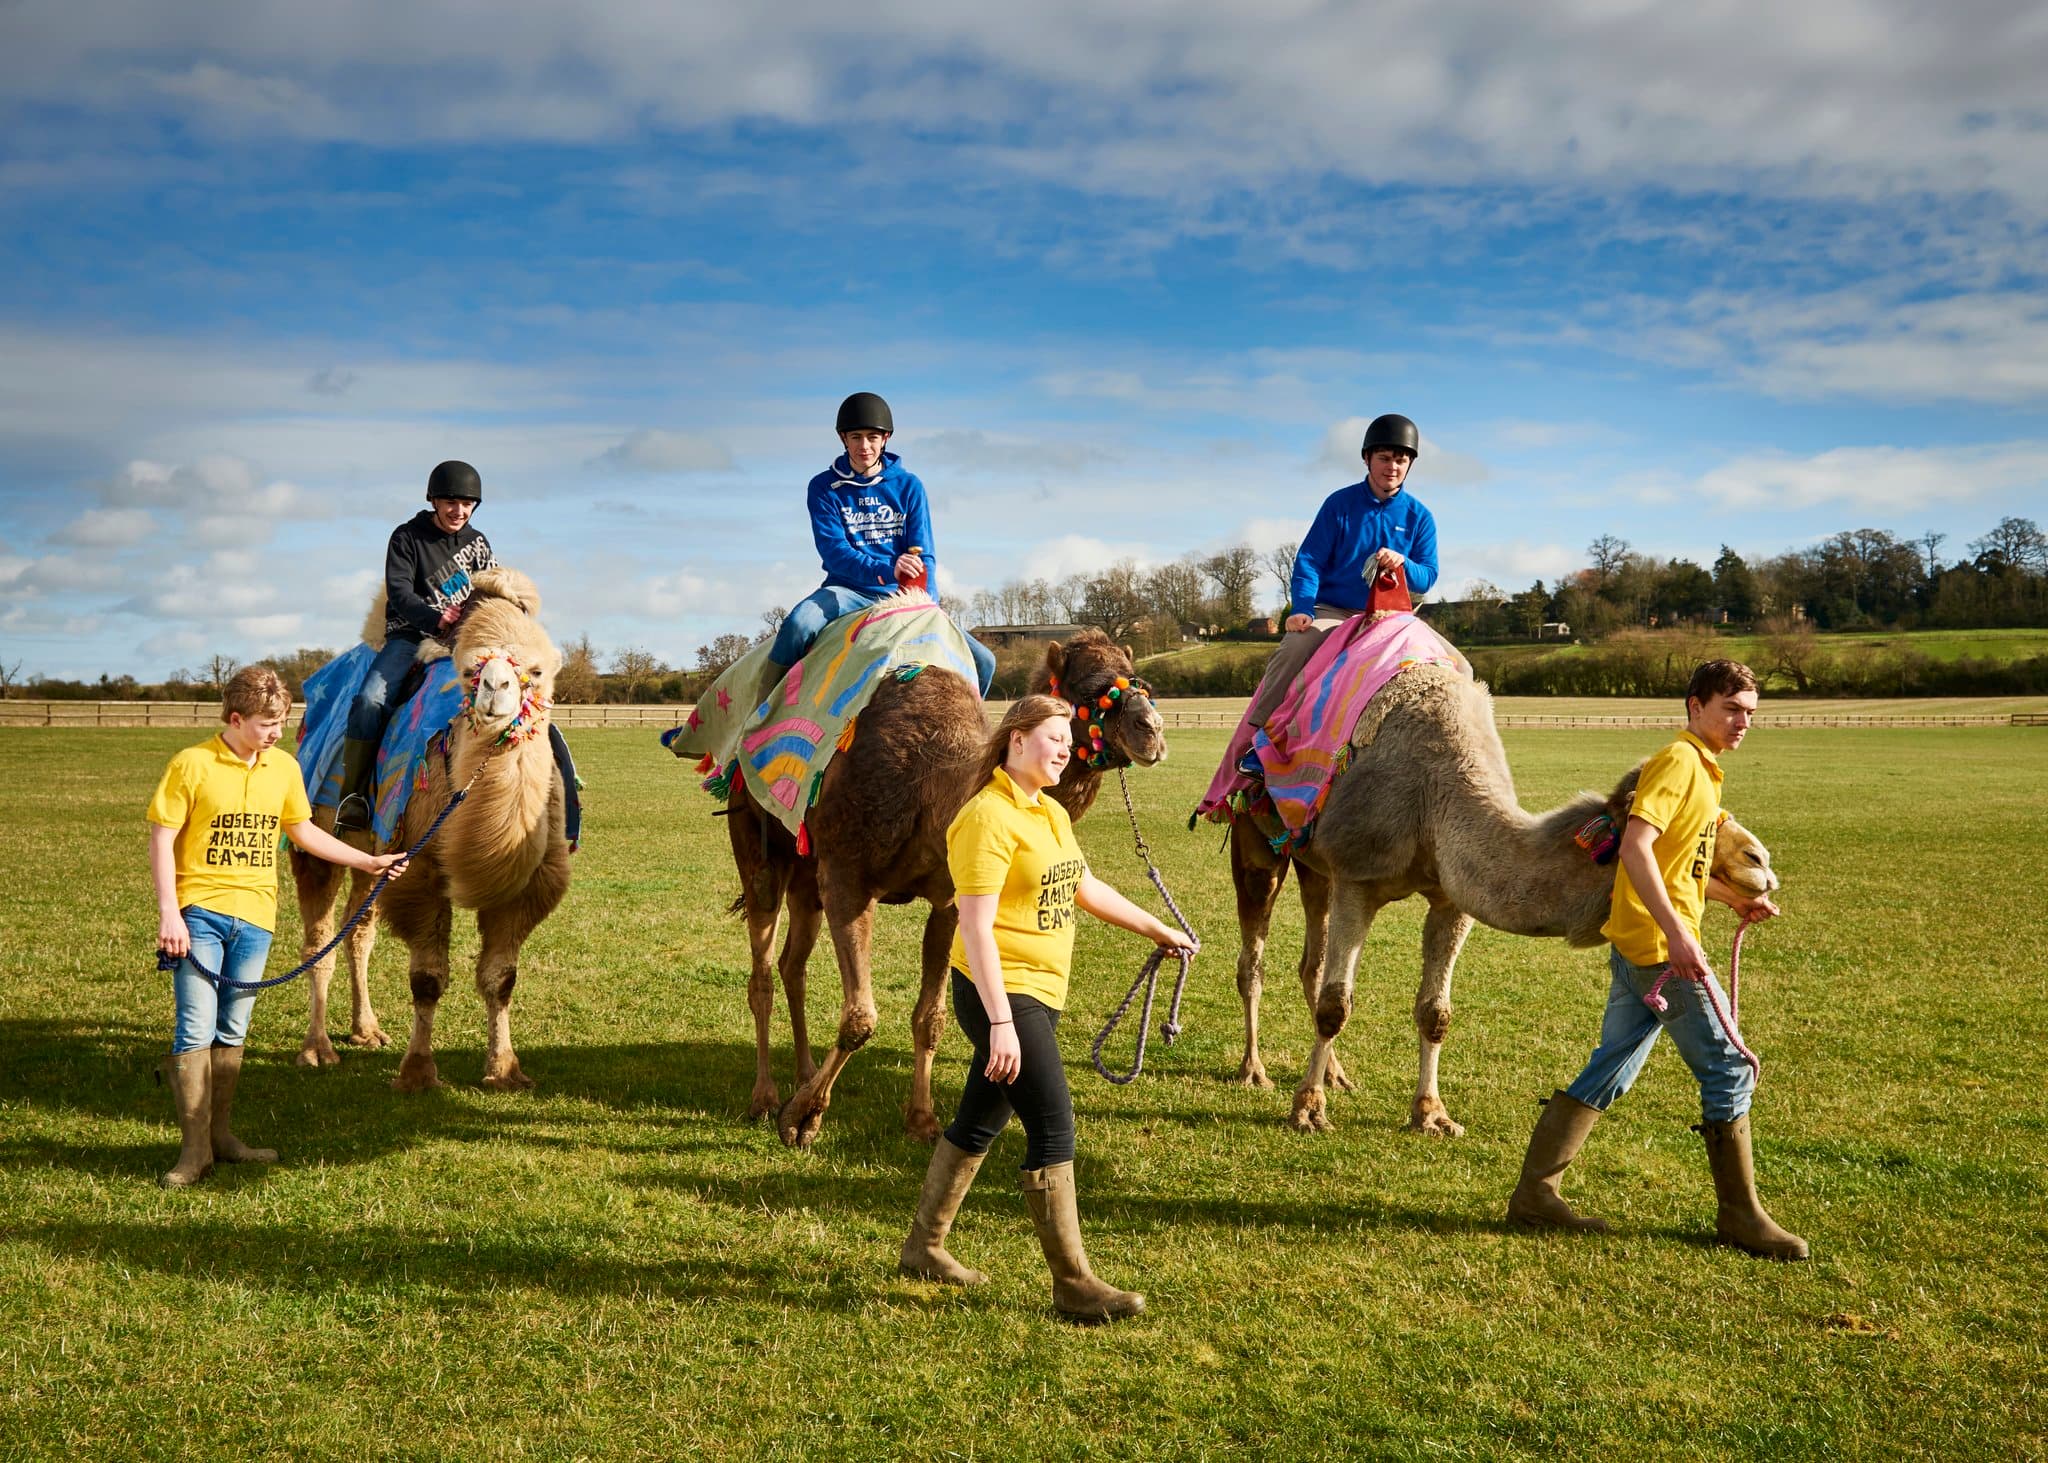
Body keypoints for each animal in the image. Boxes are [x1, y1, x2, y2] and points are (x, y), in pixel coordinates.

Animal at [290, 567, 572, 1091]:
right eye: (466, 670)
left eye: (538, 671)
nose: (496, 687)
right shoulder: (418, 870)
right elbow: (427, 978)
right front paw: (418, 1072)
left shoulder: (526, 887)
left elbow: (501, 977)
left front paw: (505, 1069)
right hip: (317, 836)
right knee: (320, 941)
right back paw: (317, 1049)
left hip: (371, 854)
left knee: (357, 931)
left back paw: (366, 1030)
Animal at [720, 627, 1167, 1149]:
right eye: (1092, 690)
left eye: (1140, 680)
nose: (1152, 729)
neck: (931, 791)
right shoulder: (848, 878)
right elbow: (860, 1018)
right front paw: (800, 1120)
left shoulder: (950, 899)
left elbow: (930, 1018)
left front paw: (922, 1120)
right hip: (758, 845)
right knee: (763, 971)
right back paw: (765, 1097)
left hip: (807, 873)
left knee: (793, 965)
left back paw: (804, 1072)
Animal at [1217, 663, 1777, 1136]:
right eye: (1695, 822)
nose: (1761, 861)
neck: (1437, 797)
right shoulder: (1359, 873)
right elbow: (1337, 1005)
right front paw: (1308, 1111)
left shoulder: (1451, 898)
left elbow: (1435, 1011)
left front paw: (1432, 1115)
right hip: (1258, 844)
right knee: (1254, 960)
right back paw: (1254, 1070)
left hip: (1315, 865)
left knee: (1310, 963)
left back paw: (1336, 1074)